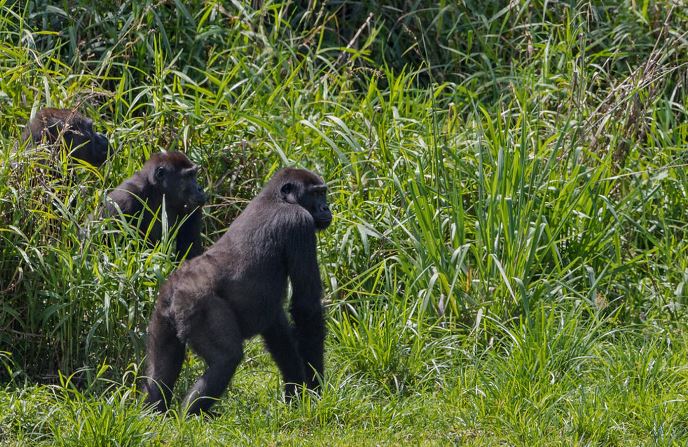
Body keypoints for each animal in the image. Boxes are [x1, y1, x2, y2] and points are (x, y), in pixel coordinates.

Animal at [144, 168, 332, 416]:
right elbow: (306, 307)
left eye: (323, 193)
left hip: (162, 310)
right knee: (226, 359)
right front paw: (316, 387)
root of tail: (175, 289)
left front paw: (296, 394)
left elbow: (280, 335)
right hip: (196, 305)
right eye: (317, 194)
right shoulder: (299, 223)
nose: (326, 208)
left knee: (160, 367)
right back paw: (190, 415)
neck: (277, 198)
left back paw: (155, 412)